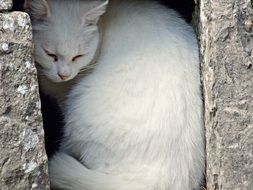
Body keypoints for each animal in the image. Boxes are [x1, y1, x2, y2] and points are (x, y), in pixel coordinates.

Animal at [27, 0, 205, 189]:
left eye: (78, 56)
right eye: (50, 54)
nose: (64, 75)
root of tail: (163, 178)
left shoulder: (62, 89)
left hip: (77, 108)